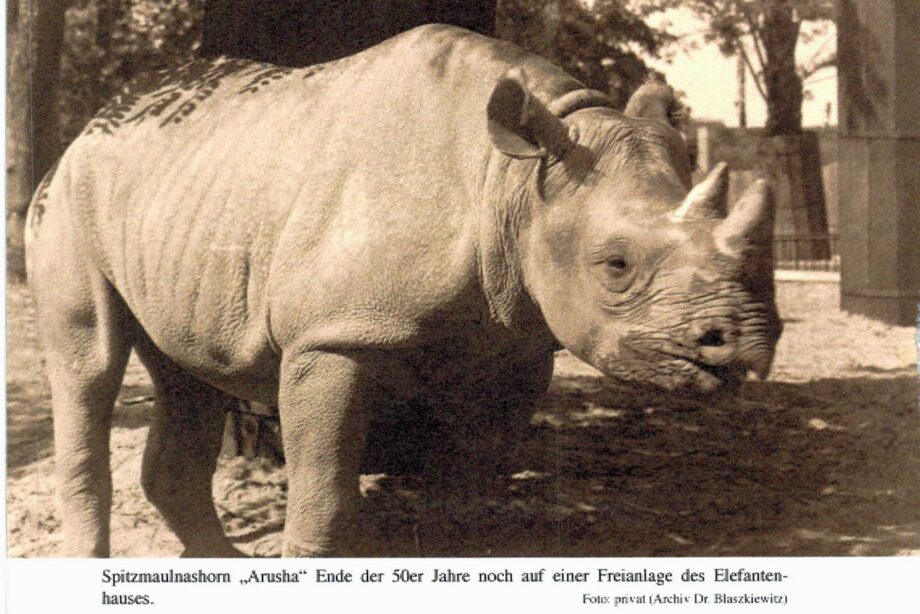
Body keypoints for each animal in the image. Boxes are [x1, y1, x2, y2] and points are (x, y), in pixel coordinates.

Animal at [26, 25, 781, 558]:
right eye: (616, 265)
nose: (747, 343)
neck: (510, 180)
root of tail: (88, 128)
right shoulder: (332, 336)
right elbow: (327, 498)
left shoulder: (512, 343)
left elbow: (468, 493)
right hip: (68, 196)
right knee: (90, 365)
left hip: (187, 201)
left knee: (186, 372)